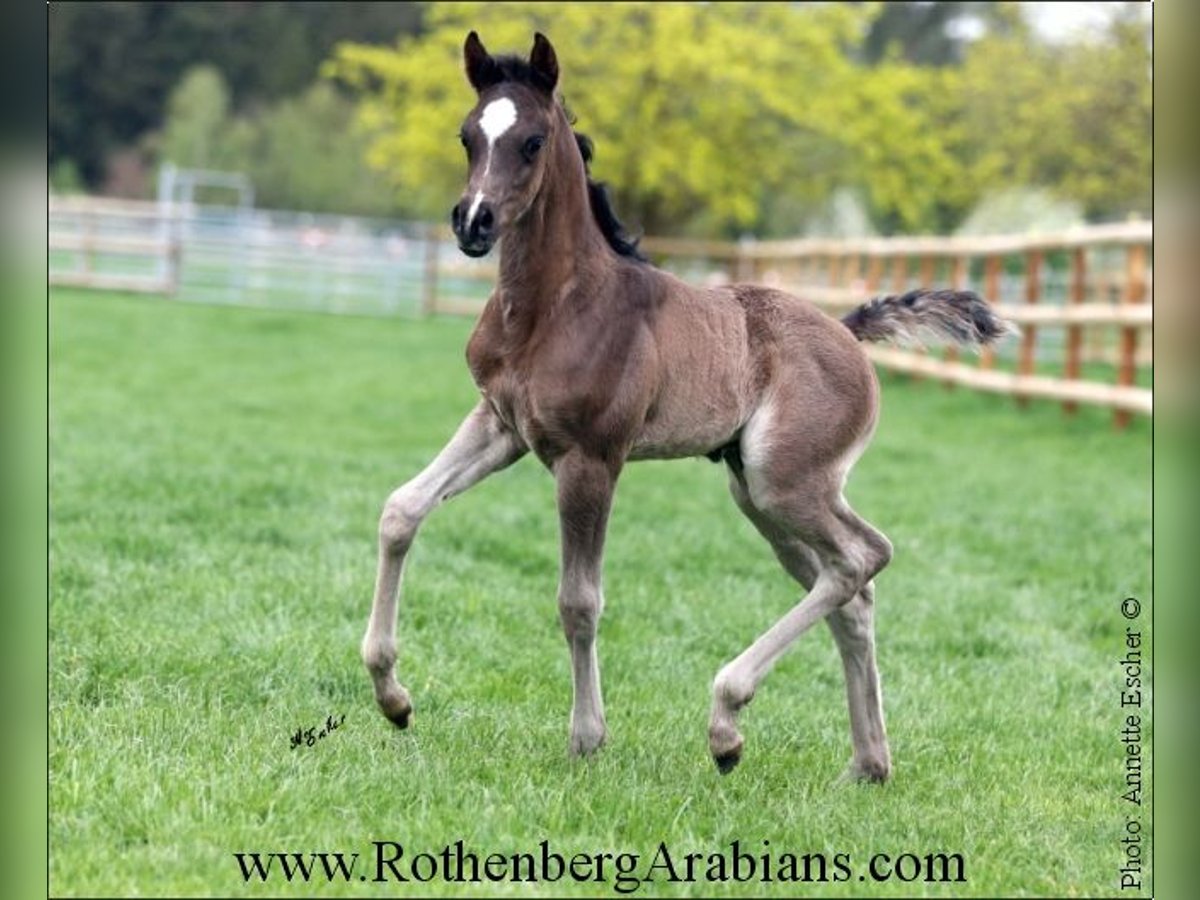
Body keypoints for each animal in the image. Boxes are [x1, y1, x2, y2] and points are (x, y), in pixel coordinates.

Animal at [357, 31, 1012, 782]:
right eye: (467, 135)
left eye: (530, 141)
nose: (473, 222)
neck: (553, 307)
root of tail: (848, 332)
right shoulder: (501, 425)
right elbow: (402, 510)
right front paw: (393, 697)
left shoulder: (591, 459)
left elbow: (578, 600)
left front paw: (587, 738)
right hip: (758, 494)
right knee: (849, 590)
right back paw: (865, 765)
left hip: (786, 483)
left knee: (860, 558)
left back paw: (728, 721)